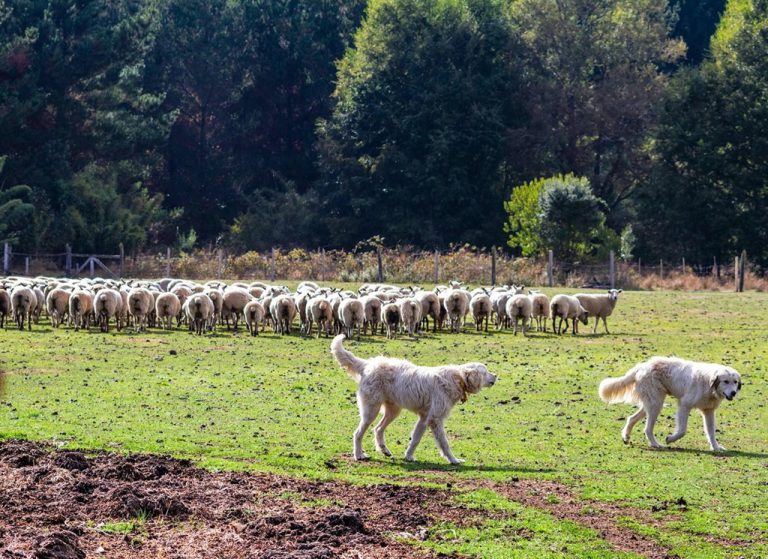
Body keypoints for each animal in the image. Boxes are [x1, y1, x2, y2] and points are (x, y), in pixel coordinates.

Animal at [330, 334, 497, 464]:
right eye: (486, 371)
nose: (496, 375)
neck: (458, 379)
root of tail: (368, 364)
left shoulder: (424, 418)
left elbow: (415, 439)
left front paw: (409, 456)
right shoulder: (435, 419)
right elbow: (444, 443)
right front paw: (454, 460)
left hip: (392, 411)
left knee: (378, 429)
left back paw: (384, 450)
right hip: (371, 411)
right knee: (358, 433)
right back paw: (359, 455)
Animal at [599, 357, 742, 451]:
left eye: (735, 382)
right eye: (725, 381)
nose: (734, 393)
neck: (708, 384)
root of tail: (643, 365)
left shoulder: (709, 411)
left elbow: (711, 432)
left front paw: (715, 447)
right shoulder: (684, 405)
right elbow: (682, 430)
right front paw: (670, 439)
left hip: (651, 403)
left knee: (631, 418)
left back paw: (626, 437)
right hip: (656, 404)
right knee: (647, 428)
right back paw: (655, 444)